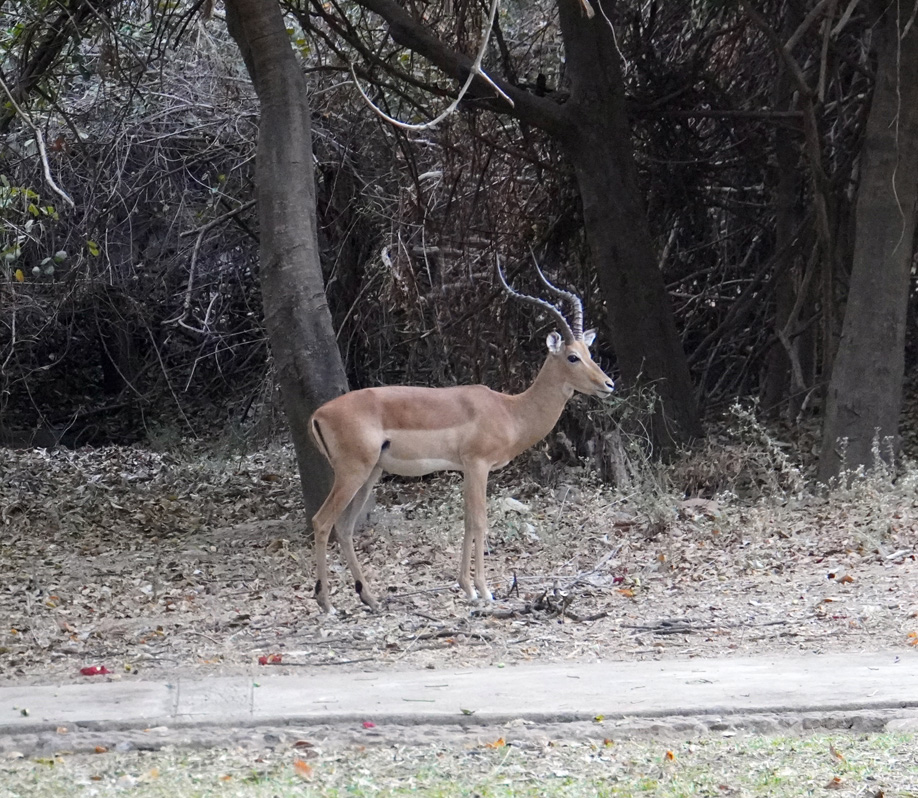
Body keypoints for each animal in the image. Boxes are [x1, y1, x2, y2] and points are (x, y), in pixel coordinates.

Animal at [309, 261, 615, 613]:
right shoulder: (478, 464)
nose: (608, 384)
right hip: (352, 472)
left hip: (371, 473)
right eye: (572, 356)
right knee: (322, 521)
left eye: (588, 351)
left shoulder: (467, 468)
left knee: (344, 527)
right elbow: (480, 520)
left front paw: (467, 588)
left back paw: (370, 598)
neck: (510, 410)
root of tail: (318, 414)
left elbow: (468, 520)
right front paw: (484, 590)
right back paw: (327, 605)